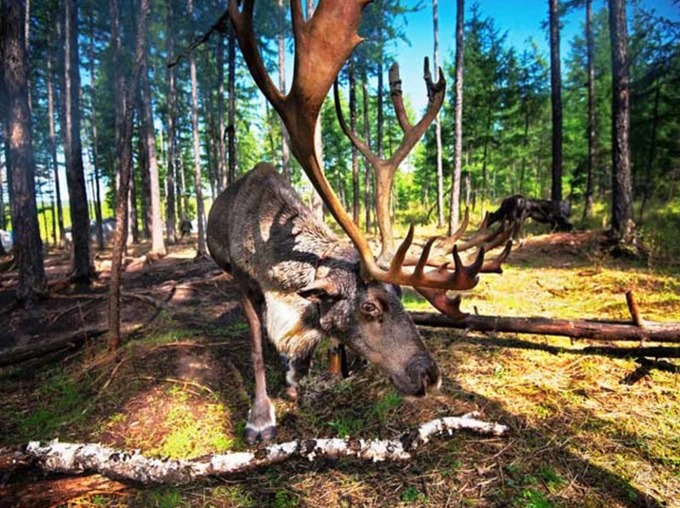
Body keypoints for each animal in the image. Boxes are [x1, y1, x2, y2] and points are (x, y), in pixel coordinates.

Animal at [206, 0, 512, 445]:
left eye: (403, 297)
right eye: (369, 307)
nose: (431, 376)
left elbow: (307, 348)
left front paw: (297, 377)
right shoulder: (243, 280)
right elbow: (256, 349)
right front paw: (260, 418)